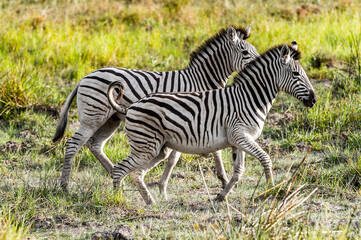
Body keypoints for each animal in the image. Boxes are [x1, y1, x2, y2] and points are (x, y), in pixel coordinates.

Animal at [52, 25, 258, 197]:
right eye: (245, 52)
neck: (199, 81)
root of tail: (85, 77)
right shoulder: (194, 120)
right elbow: (186, 156)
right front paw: (164, 187)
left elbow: (200, 152)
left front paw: (222, 181)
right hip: (93, 117)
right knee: (73, 145)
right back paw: (65, 187)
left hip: (111, 119)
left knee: (95, 144)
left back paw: (117, 178)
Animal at [108, 41, 316, 204]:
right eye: (296, 74)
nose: (314, 100)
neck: (248, 98)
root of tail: (131, 106)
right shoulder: (240, 135)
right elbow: (266, 159)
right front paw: (271, 189)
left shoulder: (238, 140)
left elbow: (239, 171)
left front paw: (221, 196)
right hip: (147, 147)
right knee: (120, 170)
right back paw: (119, 201)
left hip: (157, 149)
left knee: (135, 173)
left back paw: (149, 201)